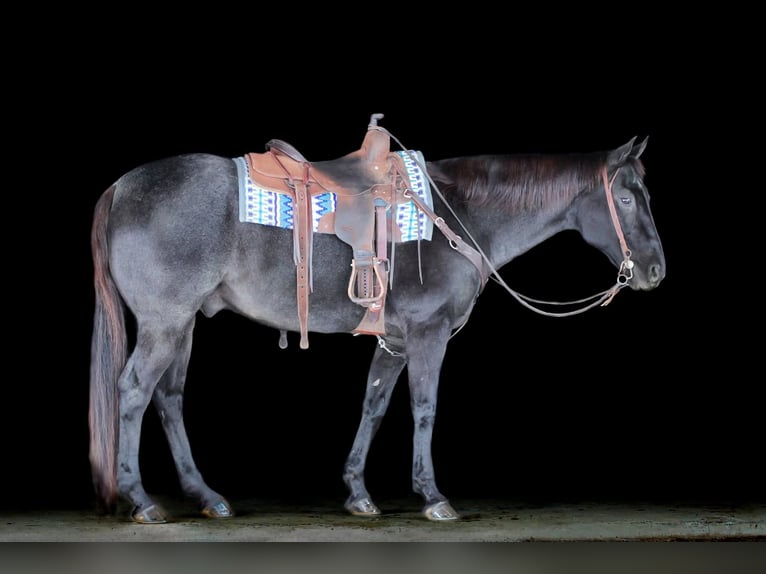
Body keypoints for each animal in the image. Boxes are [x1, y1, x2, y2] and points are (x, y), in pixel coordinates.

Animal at [89, 114, 665, 523]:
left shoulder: (394, 342)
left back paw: (207, 495)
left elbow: (374, 406)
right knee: (135, 391)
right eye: (626, 196)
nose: (656, 270)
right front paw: (433, 496)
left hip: (182, 324)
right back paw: (142, 500)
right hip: (165, 323)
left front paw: (358, 492)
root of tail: (121, 187)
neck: (458, 212)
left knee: (168, 398)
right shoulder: (429, 335)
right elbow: (425, 408)